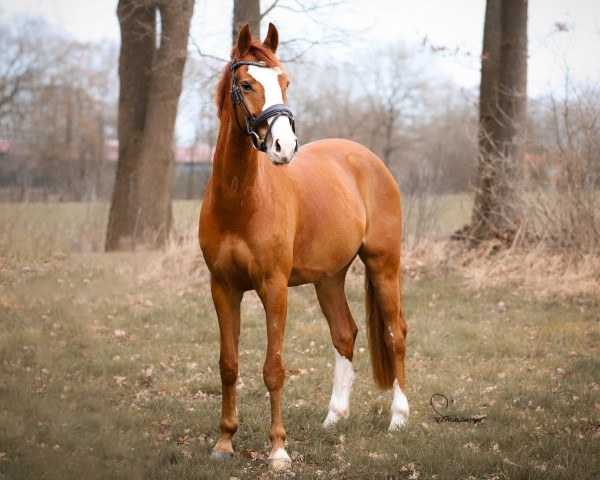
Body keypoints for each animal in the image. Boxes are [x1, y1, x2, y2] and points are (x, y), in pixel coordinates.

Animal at [199, 23, 410, 468]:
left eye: (285, 82)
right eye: (246, 84)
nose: (284, 147)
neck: (239, 201)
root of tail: (368, 159)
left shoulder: (274, 288)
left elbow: (273, 368)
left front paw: (278, 450)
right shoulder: (222, 289)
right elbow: (228, 364)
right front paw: (224, 442)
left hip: (384, 263)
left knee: (396, 331)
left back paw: (399, 418)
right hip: (329, 278)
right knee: (345, 333)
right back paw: (335, 417)